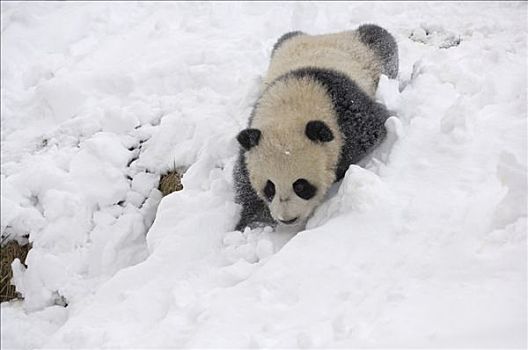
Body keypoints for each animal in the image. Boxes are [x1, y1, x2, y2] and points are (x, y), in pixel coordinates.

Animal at [233, 25, 398, 232]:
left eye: (301, 186)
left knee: (382, 41)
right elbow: (243, 177)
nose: (287, 219)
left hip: (373, 52)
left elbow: (376, 128)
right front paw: (254, 221)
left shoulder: (348, 112)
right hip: (284, 42)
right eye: (269, 187)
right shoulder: (253, 131)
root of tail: (327, 35)